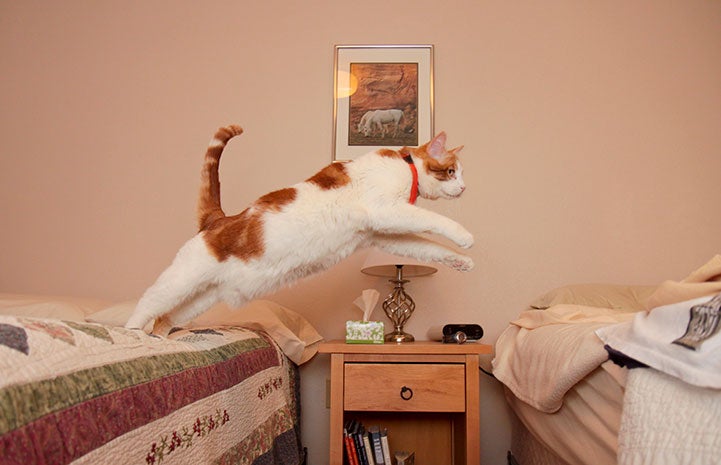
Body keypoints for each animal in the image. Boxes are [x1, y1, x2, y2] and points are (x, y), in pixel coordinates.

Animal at [125, 125, 472, 332]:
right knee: (147, 305)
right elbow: (435, 221)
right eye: (451, 172)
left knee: (166, 318)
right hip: (180, 281)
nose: (464, 187)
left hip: (200, 298)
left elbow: (428, 247)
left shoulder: (387, 233)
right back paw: (131, 335)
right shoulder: (387, 210)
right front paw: (466, 236)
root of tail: (218, 219)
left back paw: (163, 342)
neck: (405, 165)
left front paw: (461, 261)